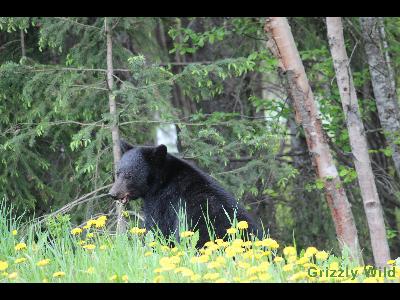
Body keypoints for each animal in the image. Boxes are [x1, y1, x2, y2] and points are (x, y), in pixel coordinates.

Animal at [108, 142, 262, 247]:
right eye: (118, 172)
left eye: (129, 175)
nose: (113, 194)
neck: (160, 181)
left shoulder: (163, 202)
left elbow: (157, 228)